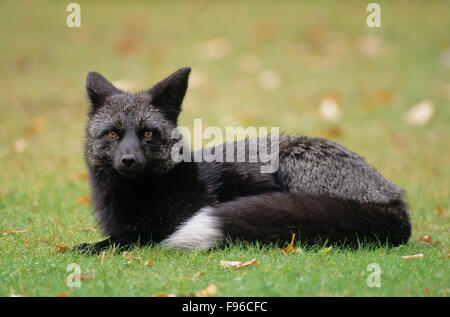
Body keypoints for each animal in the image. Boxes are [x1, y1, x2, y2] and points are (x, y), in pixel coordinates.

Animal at [74, 66, 412, 252]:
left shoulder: (161, 227)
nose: (128, 160)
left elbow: (121, 241)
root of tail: (393, 198)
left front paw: (90, 248)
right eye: (113, 134)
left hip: (290, 160)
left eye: (147, 134)